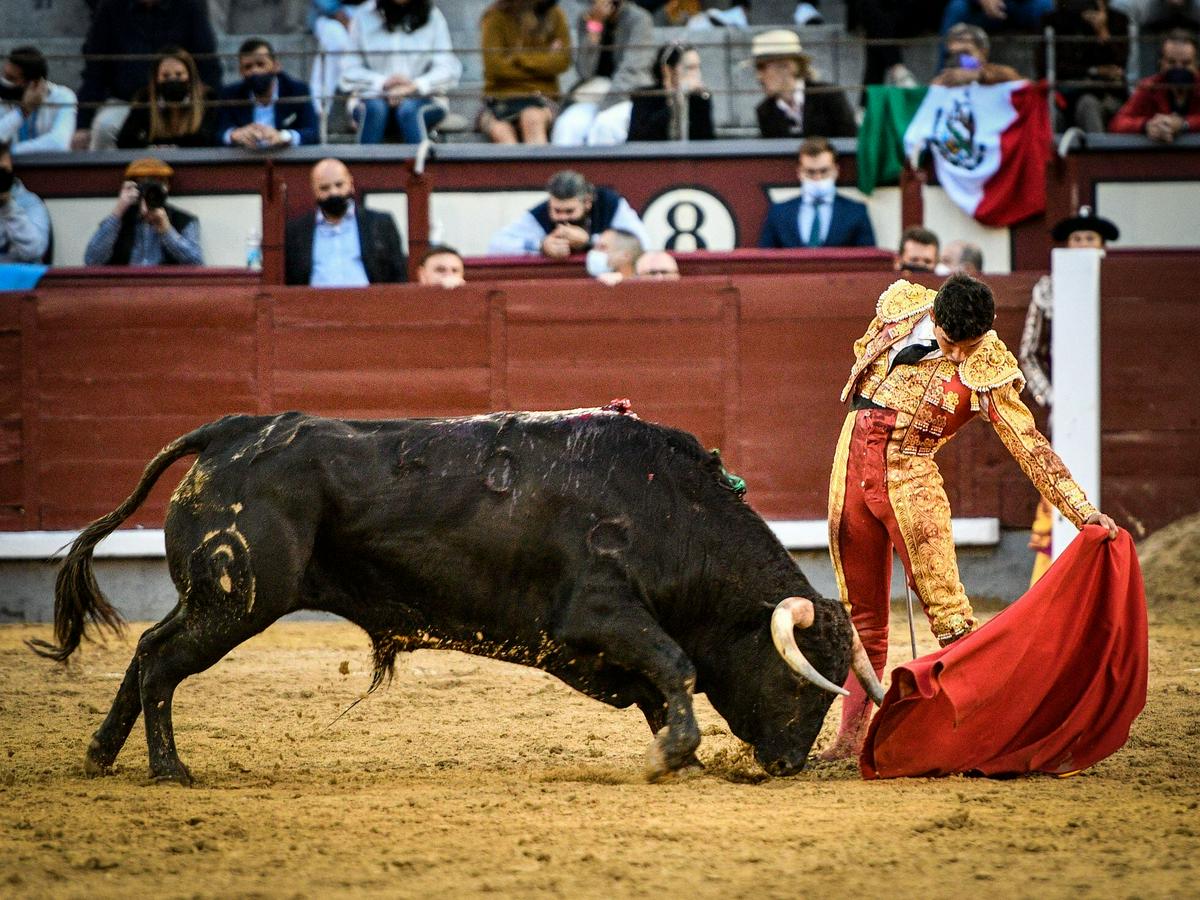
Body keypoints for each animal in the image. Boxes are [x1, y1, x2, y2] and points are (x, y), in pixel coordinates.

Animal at [30, 408, 873, 782]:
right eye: (805, 685)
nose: (790, 764)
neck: (670, 509)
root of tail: (232, 430)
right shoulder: (600, 612)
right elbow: (676, 665)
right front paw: (673, 753)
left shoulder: (595, 644)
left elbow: (659, 683)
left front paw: (680, 754)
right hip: (238, 603)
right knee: (163, 662)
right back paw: (169, 770)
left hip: (211, 599)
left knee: (146, 649)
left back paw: (101, 754)